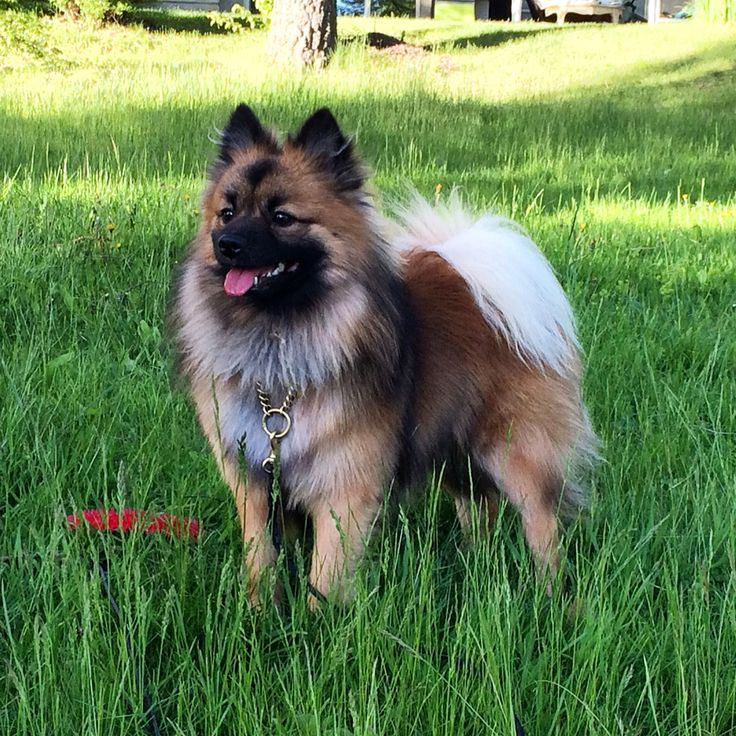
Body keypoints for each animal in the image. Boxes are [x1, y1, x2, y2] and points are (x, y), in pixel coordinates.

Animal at [168, 105, 600, 608]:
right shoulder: (254, 482)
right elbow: (262, 558)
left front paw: (316, 621)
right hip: (450, 444)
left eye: (281, 217)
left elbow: (325, 572)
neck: (279, 340)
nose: (227, 244)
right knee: (479, 505)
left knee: (541, 524)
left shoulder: (344, 485)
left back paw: (553, 597)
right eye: (227, 212)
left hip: (515, 451)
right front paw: (259, 612)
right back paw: (477, 561)